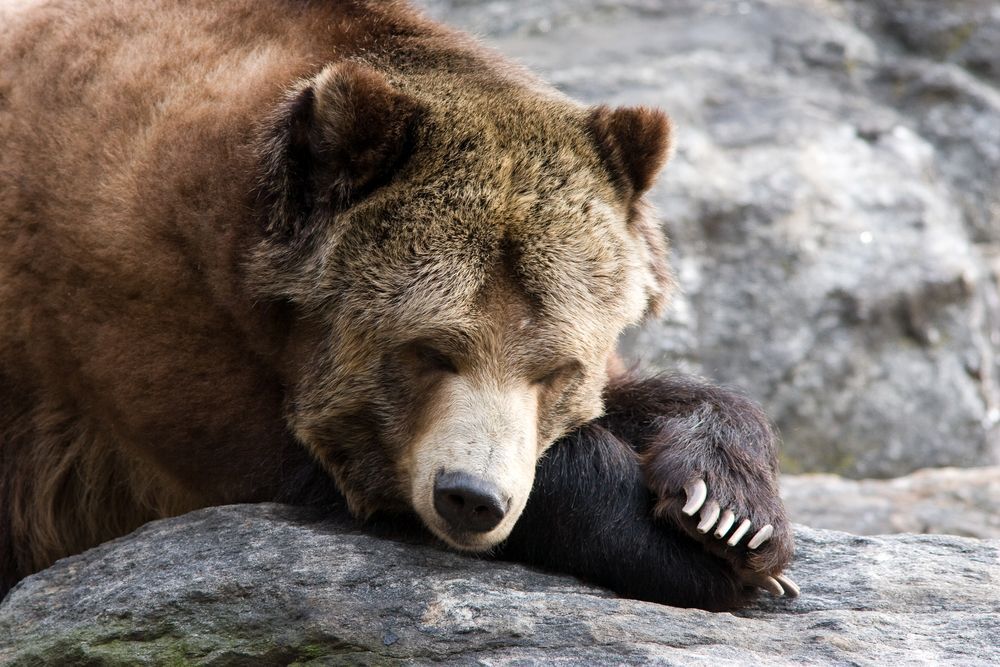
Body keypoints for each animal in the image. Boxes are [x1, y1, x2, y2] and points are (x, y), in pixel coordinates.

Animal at [0, 0, 795, 610]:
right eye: (429, 350)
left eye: (556, 370)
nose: (473, 498)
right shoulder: (126, 299)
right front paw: (688, 551)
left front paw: (728, 509)